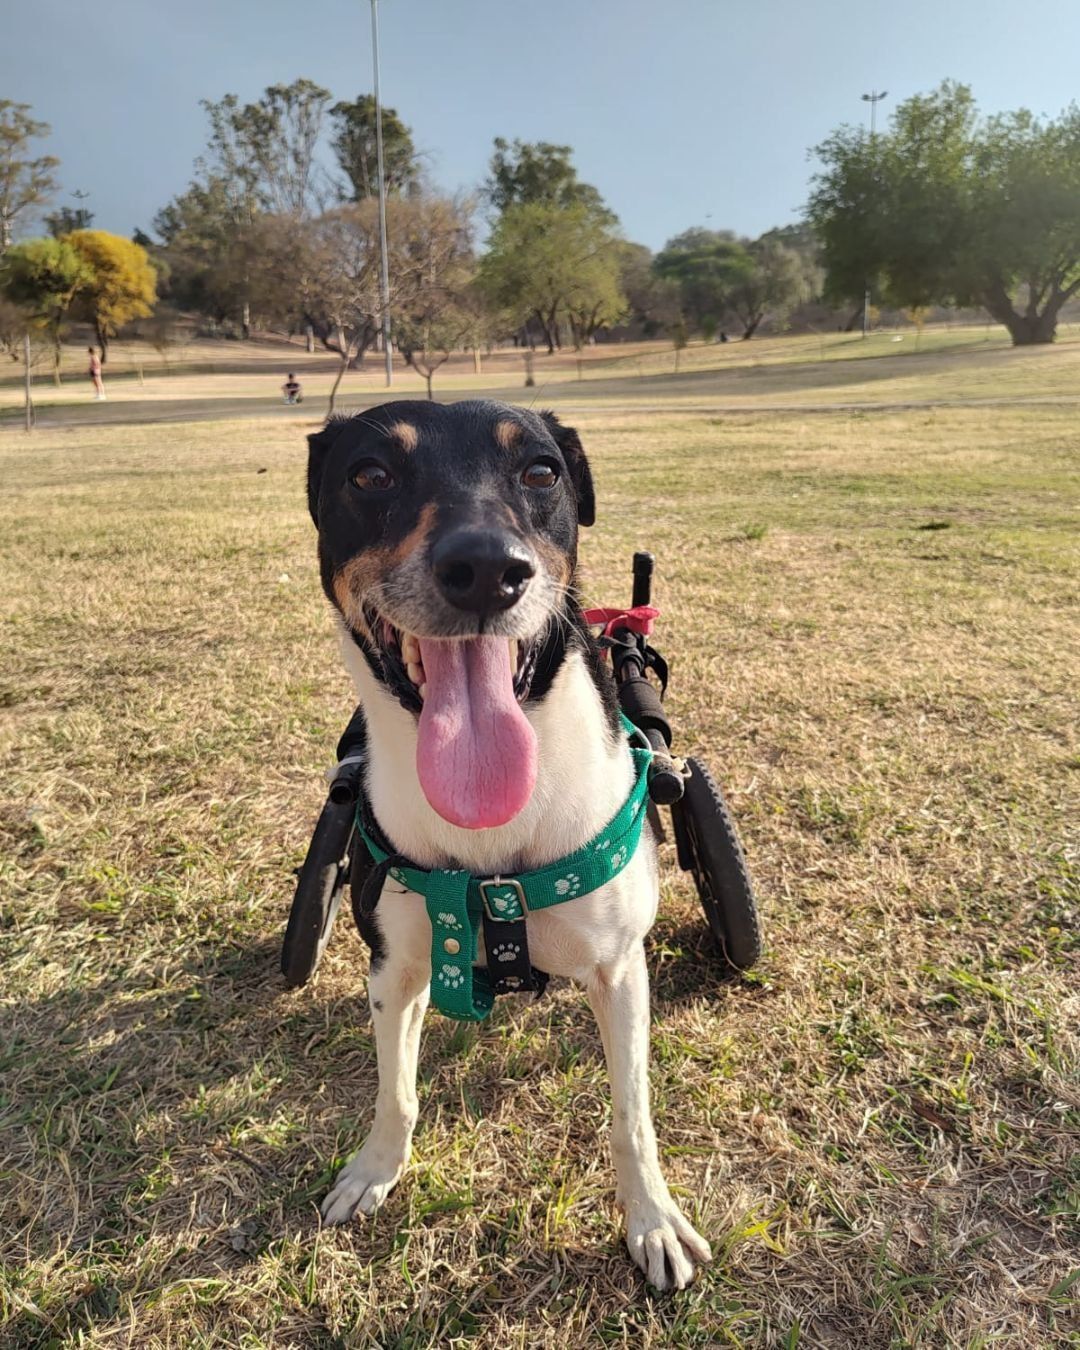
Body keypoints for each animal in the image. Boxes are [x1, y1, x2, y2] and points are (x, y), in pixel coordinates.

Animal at [306, 398, 711, 1290]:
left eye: (540, 470)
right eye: (370, 474)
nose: (487, 568)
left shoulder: (618, 969)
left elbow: (631, 1111)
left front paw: (653, 1222)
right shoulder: (394, 965)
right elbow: (396, 1090)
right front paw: (375, 1170)